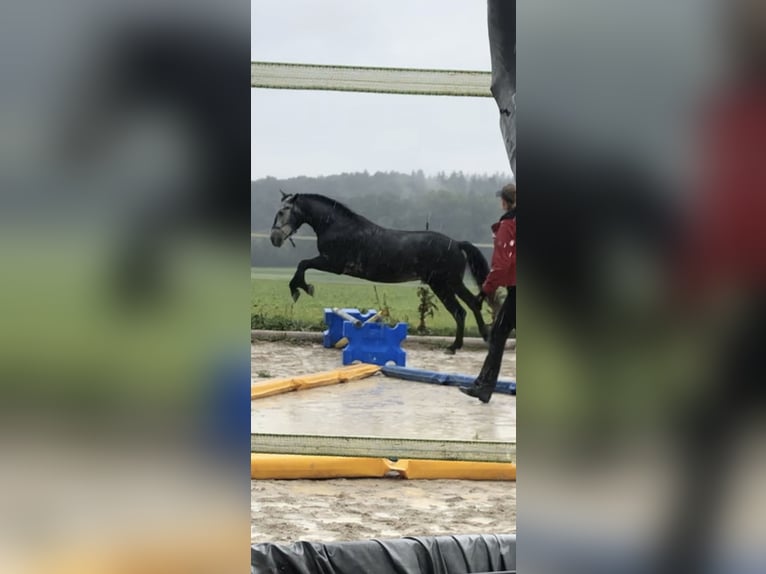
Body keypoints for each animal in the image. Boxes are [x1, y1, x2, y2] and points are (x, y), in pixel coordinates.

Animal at [270, 191, 492, 354]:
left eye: (282, 211)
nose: (275, 238)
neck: (336, 226)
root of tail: (456, 243)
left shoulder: (333, 264)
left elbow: (303, 264)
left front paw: (300, 289)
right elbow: (303, 264)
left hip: (445, 283)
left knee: (462, 309)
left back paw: (456, 346)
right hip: (445, 284)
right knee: (468, 306)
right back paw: (476, 339)